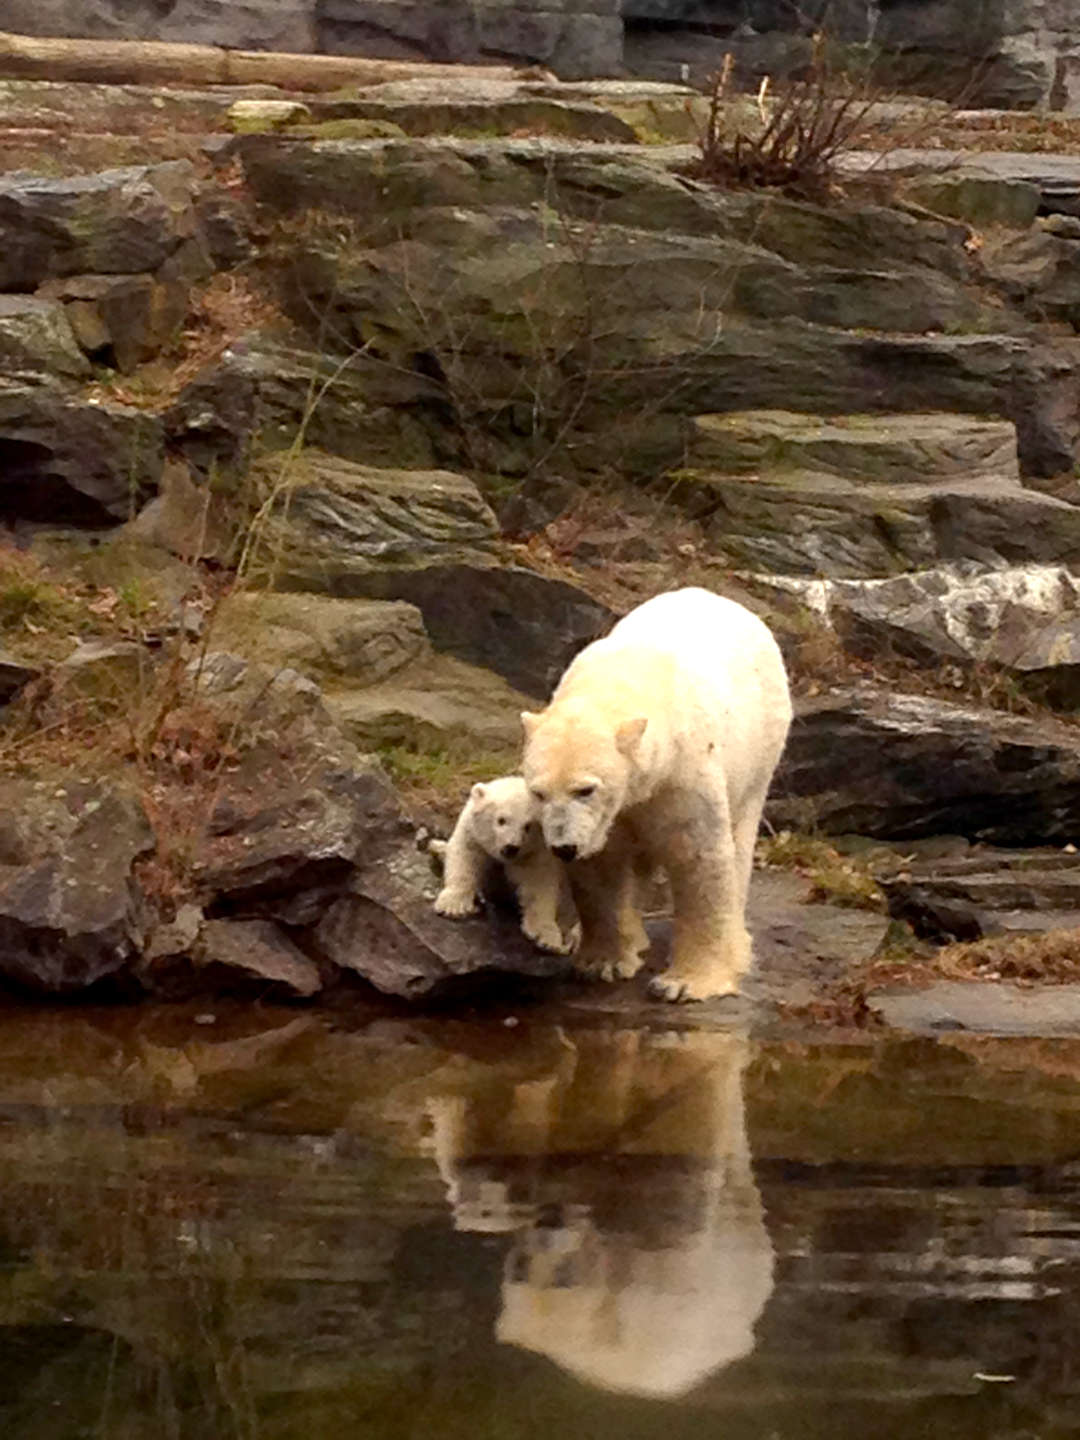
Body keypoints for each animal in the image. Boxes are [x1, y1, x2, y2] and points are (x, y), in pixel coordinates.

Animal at [434, 777, 578, 956]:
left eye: (528, 826)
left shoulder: (538, 854)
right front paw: (453, 905)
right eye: (501, 820)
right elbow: (465, 857)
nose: (511, 847)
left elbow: (539, 886)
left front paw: (547, 937)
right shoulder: (472, 834)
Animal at [524, 584, 794, 1002]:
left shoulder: (684, 769)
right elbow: (603, 864)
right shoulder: (615, 812)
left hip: (761, 749)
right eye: (538, 793)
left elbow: (698, 856)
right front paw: (602, 962)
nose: (563, 848)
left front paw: (686, 983)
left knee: (739, 839)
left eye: (585, 789)